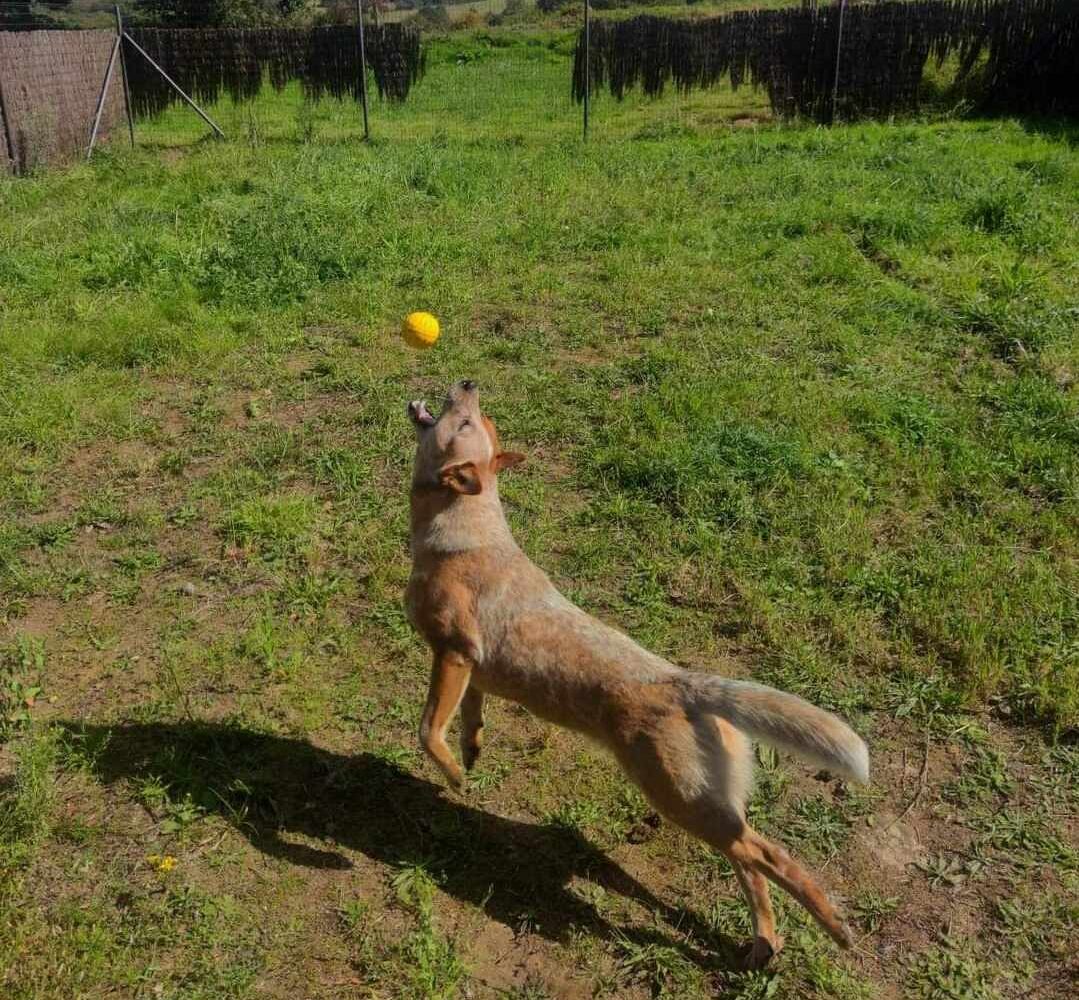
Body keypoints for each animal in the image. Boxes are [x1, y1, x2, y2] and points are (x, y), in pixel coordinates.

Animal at [405, 381, 867, 970]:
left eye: (469, 422)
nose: (469, 383)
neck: (465, 527)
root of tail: (690, 686)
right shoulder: (472, 669)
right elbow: (470, 714)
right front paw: (472, 751)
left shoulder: (453, 652)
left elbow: (427, 730)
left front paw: (454, 777)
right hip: (711, 807)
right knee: (751, 866)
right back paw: (763, 944)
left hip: (683, 802)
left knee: (772, 856)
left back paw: (835, 929)